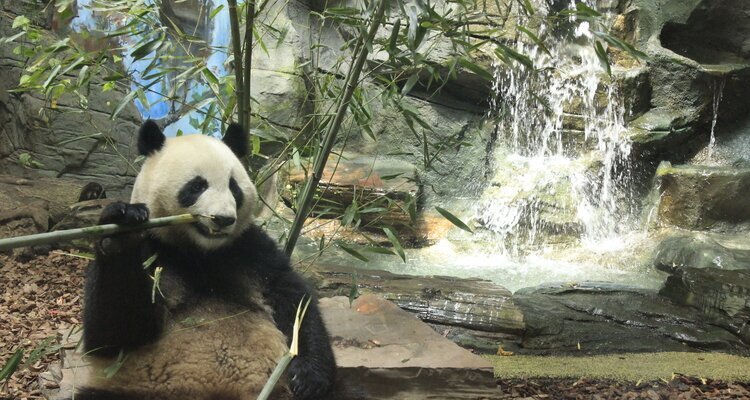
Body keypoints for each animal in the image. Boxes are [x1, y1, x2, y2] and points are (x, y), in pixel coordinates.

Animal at [75, 120, 336, 400]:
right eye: (197, 186)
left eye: (234, 187)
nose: (222, 219)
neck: (200, 251)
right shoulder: (155, 249)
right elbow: (115, 333)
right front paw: (120, 233)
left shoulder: (250, 249)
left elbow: (293, 299)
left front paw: (308, 376)